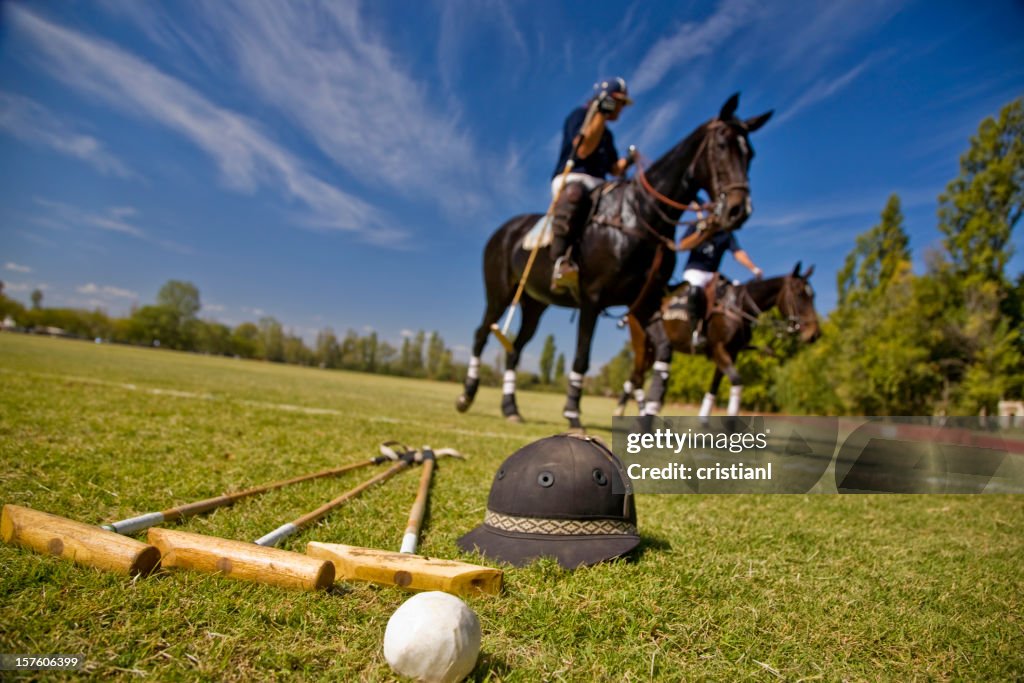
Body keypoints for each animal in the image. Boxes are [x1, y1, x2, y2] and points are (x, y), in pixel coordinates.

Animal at [456, 93, 773, 430]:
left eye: (751, 154)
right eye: (722, 144)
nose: (739, 209)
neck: (642, 217)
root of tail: (503, 230)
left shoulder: (645, 304)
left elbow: (663, 354)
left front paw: (650, 414)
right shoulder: (592, 298)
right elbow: (582, 356)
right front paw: (573, 414)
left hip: (534, 303)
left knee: (515, 348)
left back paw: (511, 408)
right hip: (500, 290)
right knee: (481, 334)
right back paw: (466, 395)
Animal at [614, 263, 821, 419]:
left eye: (813, 296)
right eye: (800, 294)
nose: (815, 334)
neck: (738, 308)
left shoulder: (731, 352)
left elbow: (714, 386)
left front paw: (704, 420)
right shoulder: (718, 349)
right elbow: (736, 380)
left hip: (652, 349)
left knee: (634, 377)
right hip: (641, 343)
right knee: (638, 378)